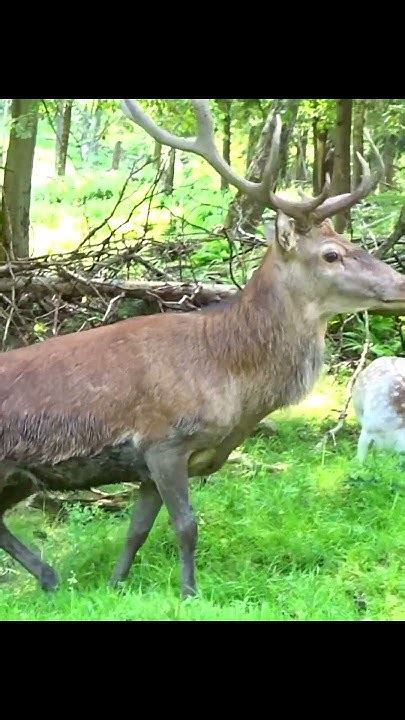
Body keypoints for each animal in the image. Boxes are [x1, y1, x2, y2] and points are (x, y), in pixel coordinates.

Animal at [0, 98, 404, 600]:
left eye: (350, 242)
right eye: (331, 254)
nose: (400, 285)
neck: (231, 379)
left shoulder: (149, 466)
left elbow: (136, 530)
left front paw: (115, 584)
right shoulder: (164, 442)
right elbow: (186, 525)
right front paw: (189, 593)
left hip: (15, 476)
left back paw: (50, 577)